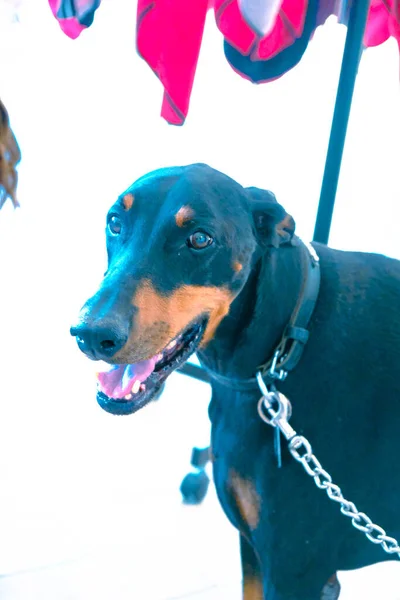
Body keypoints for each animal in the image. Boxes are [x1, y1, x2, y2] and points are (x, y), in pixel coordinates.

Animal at [72, 164, 400, 600]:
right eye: (114, 222)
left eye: (199, 239)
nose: (91, 334)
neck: (287, 340)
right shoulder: (255, 551)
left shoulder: (296, 569)